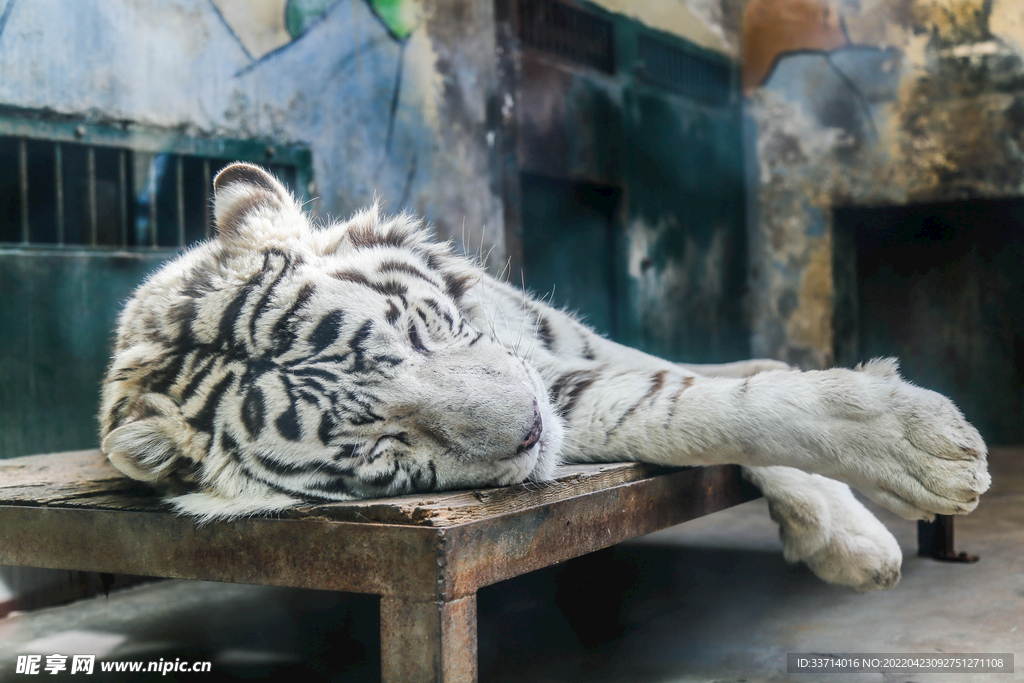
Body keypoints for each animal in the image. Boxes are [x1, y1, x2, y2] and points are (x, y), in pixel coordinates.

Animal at [100, 162, 990, 592]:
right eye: (385, 445)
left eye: (418, 329)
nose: (529, 424)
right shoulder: (576, 393)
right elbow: (697, 406)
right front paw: (909, 460)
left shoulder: (570, 347)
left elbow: (731, 373)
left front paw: (861, 507)